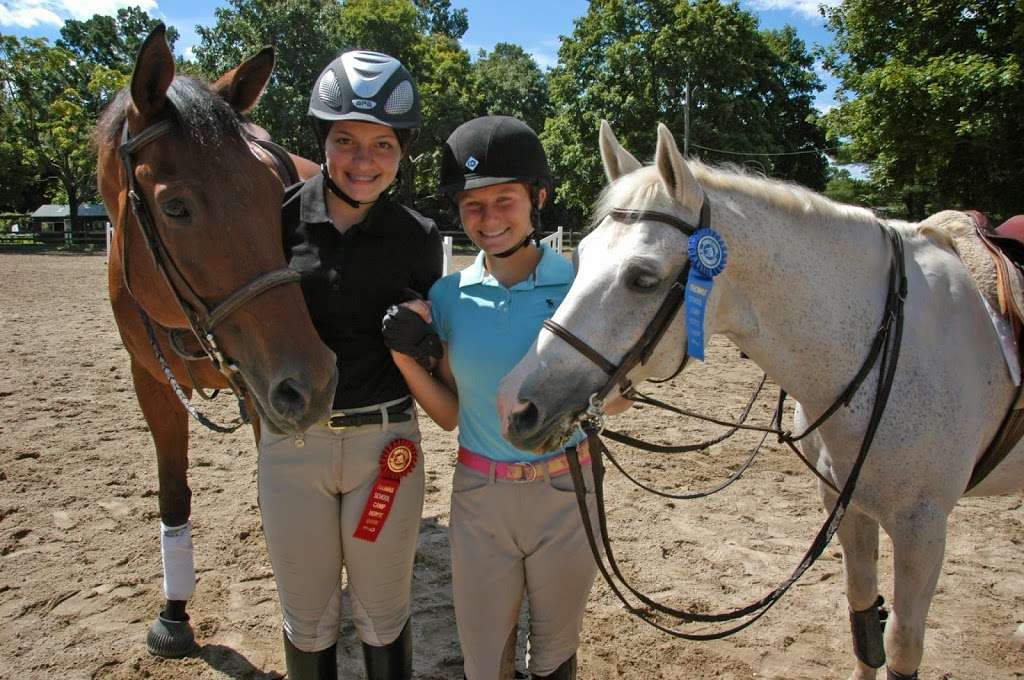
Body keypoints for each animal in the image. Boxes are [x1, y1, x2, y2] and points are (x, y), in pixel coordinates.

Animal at [95, 26, 335, 659]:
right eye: (175, 206)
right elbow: (173, 494)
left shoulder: (262, 388)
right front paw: (173, 614)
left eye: (277, 197)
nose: (314, 381)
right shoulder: (151, 382)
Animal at [499, 120, 1024, 680]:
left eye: (643, 278)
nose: (515, 406)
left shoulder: (923, 528)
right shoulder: (848, 505)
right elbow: (864, 625)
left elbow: (902, 647)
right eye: (582, 258)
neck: (885, 343)